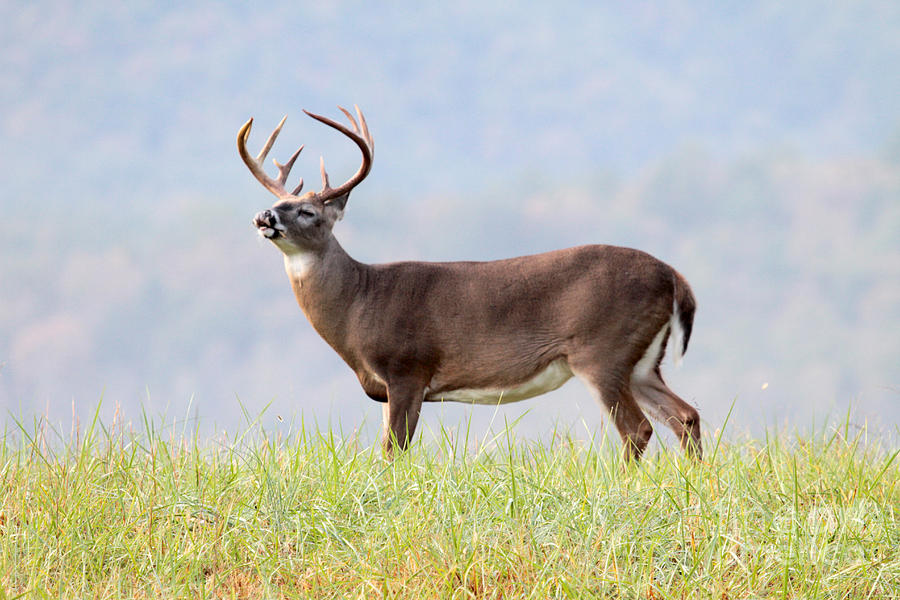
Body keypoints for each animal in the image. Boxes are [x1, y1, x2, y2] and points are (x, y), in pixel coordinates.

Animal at [239, 105, 704, 460]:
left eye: (308, 212)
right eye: (280, 202)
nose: (264, 216)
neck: (359, 305)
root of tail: (674, 277)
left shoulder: (407, 368)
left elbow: (394, 451)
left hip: (601, 350)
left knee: (637, 429)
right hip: (641, 361)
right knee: (685, 416)